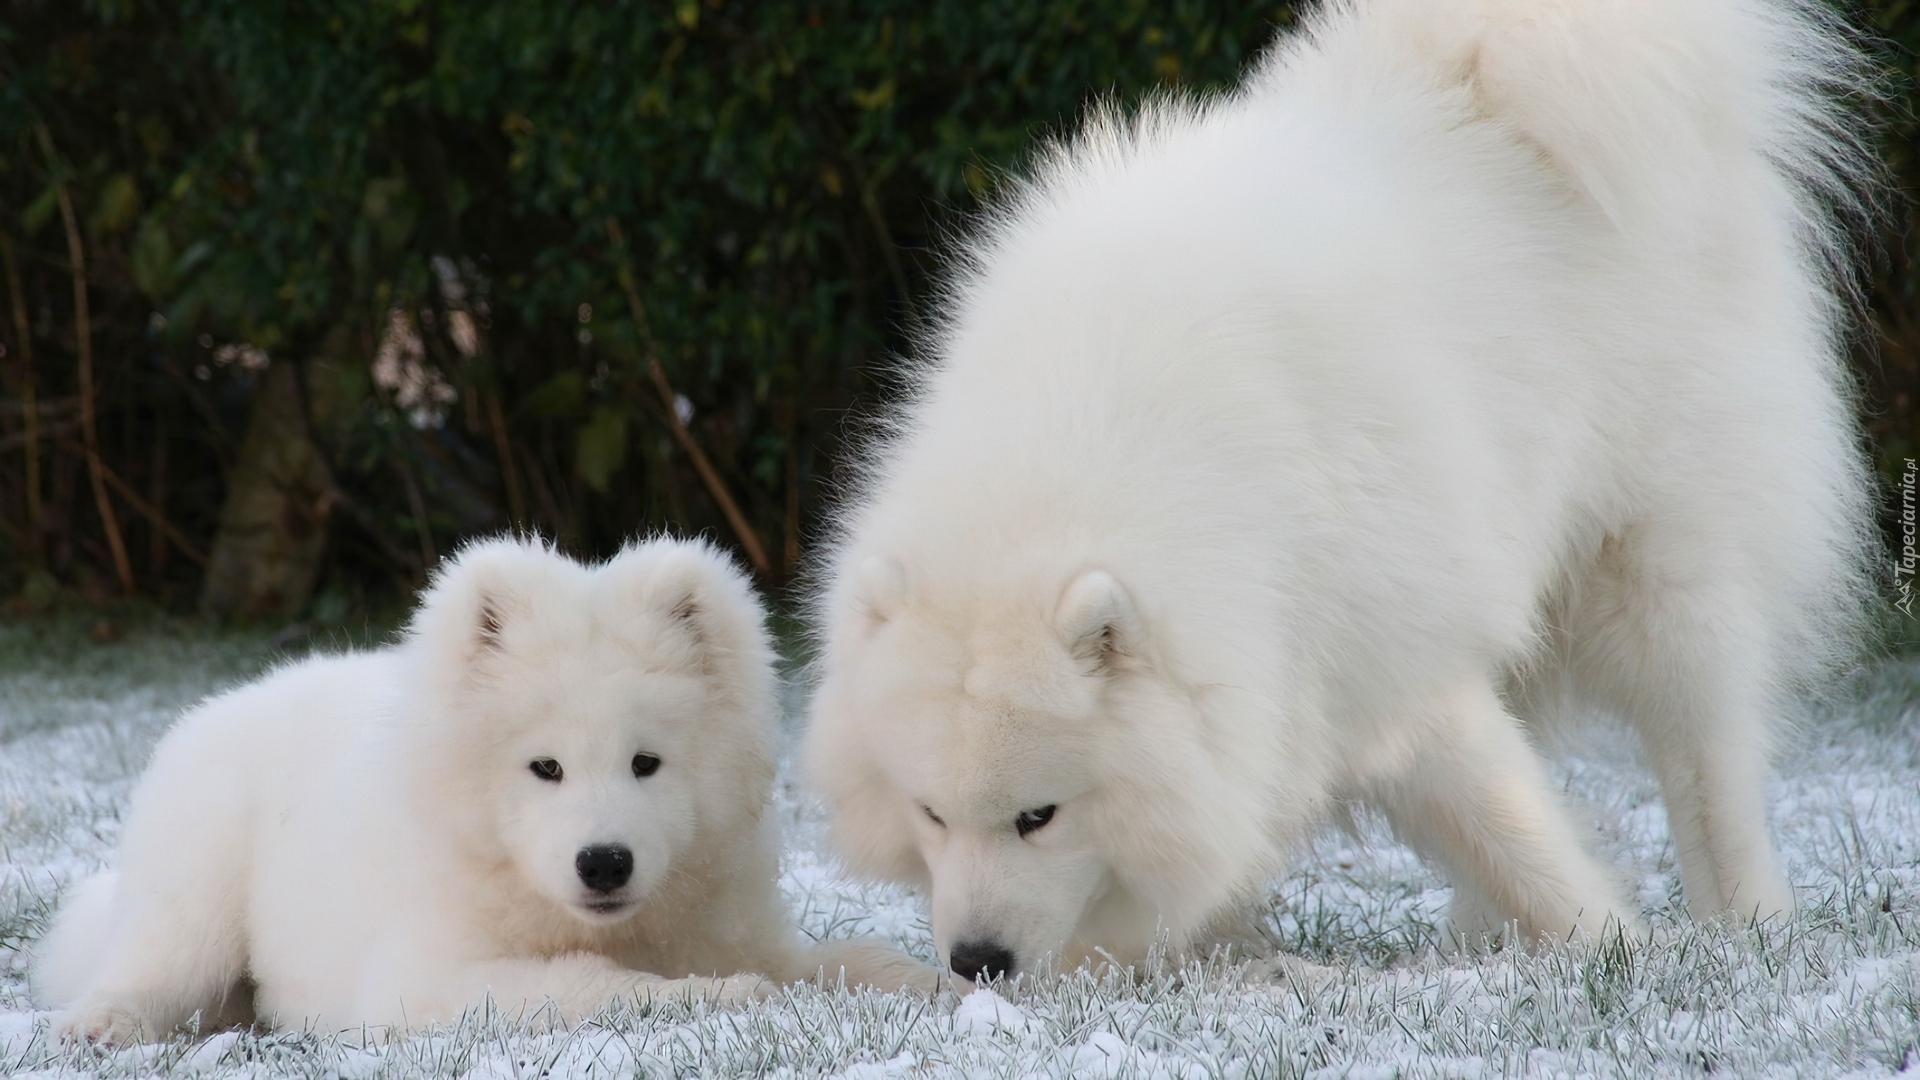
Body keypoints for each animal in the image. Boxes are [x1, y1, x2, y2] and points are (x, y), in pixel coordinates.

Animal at [30, 534, 929, 1037]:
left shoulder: (738, 926)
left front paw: (933, 981)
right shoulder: (425, 977)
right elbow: (589, 983)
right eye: (545, 768)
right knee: (150, 965)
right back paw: (104, 1025)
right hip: (199, 889)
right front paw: (723, 997)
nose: (605, 863)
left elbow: (849, 958)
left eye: (647, 763)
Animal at [802, 0, 1881, 983]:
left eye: (1038, 816)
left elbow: (1505, 822)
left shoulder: (1389, 663)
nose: (975, 961)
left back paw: (1743, 920)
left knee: (1705, 747)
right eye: (930, 813)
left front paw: (1609, 943)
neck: (1095, 440)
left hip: (1655, 562)